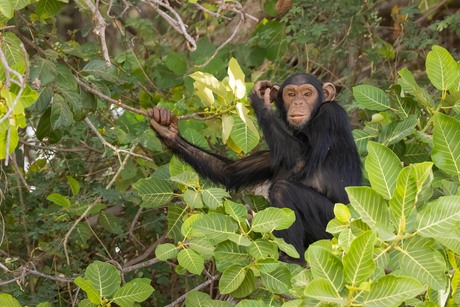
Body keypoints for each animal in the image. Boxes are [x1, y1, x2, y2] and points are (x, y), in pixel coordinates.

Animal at [149, 73, 362, 262]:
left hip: (335, 229)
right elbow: (230, 172)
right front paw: (166, 129)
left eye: (307, 94)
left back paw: (294, 259)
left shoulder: (330, 115)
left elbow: (300, 159)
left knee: (283, 190)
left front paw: (260, 100)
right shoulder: (272, 155)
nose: (299, 103)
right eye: (291, 94)